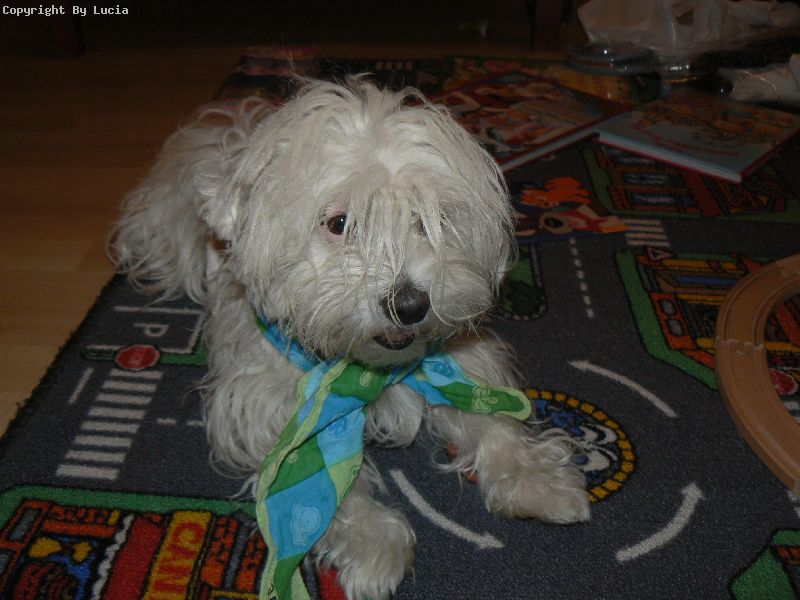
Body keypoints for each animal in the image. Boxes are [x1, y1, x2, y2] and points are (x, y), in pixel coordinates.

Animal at [112, 76, 589, 600]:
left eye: (429, 219)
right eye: (339, 223)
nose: (410, 306)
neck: (365, 370)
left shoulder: (459, 363)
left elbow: (493, 421)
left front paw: (537, 478)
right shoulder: (269, 408)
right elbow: (327, 484)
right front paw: (373, 544)